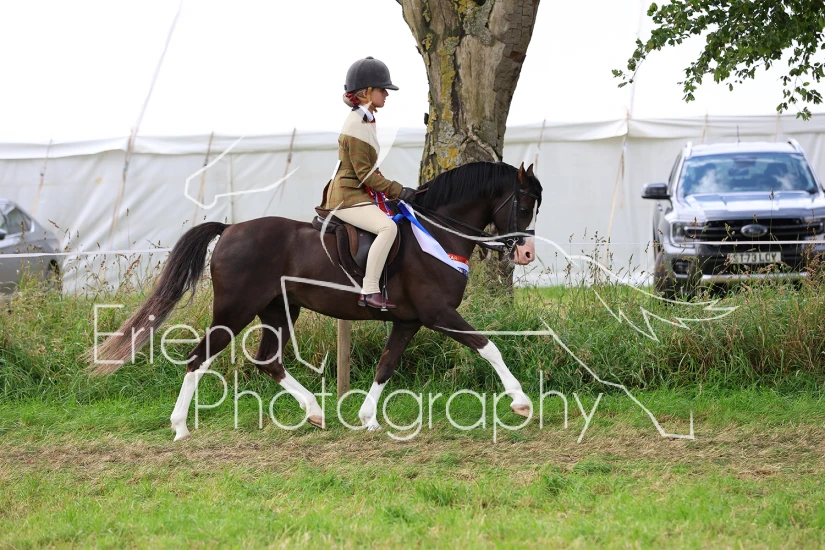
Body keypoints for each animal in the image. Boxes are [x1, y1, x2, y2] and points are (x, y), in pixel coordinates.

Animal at [89, 161, 543, 440]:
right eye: (523, 205)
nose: (525, 254)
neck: (437, 233)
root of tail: (231, 229)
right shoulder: (438, 313)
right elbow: (489, 346)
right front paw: (521, 402)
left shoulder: (409, 320)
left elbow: (386, 366)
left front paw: (367, 419)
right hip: (236, 310)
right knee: (199, 357)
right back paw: (181, 427)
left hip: (279, 309)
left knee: (268, 360)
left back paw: (314, 411)